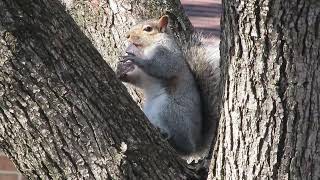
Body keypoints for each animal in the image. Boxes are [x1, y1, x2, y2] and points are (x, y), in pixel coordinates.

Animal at [116, 15, 221, 159]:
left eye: (148, 29)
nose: (127, 35)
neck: (148, 48)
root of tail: (196, 144)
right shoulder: (144, 77)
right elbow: (139, 80)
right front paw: (121, 73)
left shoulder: (168, 55)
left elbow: (161, 67)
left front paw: (135, 59)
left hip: (169, 110)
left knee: (184, 146)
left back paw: (170, 138)